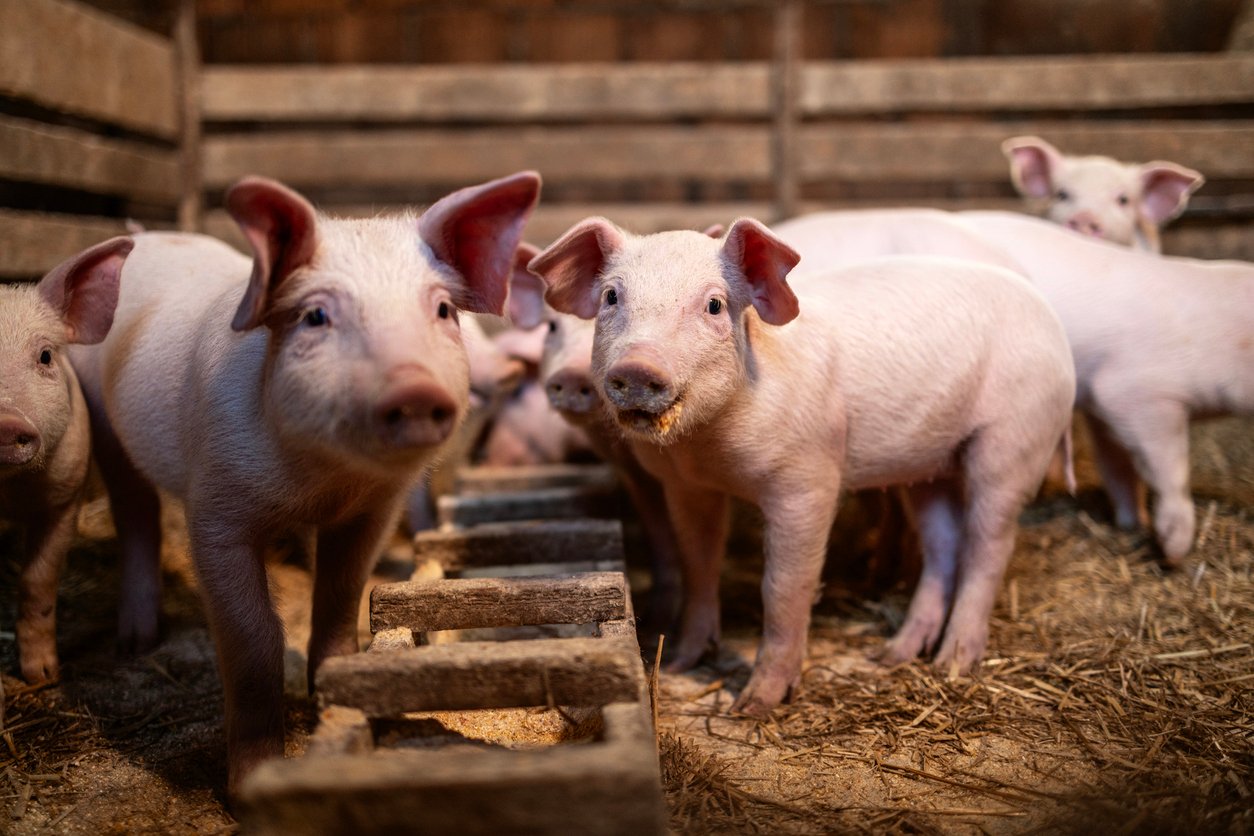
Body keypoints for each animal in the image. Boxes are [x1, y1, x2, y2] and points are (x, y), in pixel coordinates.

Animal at [69, 171, 540, 793]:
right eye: (316, 316)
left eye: (442, 310)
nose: (415, 387)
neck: (320, 484)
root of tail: (145, 235)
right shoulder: (214, 511)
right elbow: (253, 643)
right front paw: (250, 788)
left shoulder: (369, 514)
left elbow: (338, 609)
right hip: (103, 420)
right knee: (136, 511)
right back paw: (136, 642)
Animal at [529, 218, 1076, 715]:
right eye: (611, 297)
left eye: (714, 304)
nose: (637, 367)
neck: (706, 447)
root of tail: (1051, 321)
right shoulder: (685, 486)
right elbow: (699, 564)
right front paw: (684, 661)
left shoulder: (808, 479)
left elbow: (784, 586)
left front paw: (751, 706)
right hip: (930, 463)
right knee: (944, 545)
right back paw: (893, 655)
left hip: (1014, 437)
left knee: (989, 544)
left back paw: (953, 663)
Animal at [774, 208, 1254, 565]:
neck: (1209, 336)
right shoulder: (1134, 392)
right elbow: (1163, 466)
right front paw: (1171, 550)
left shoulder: (1115, 403)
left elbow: (1121, 464)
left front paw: (1131, 524)